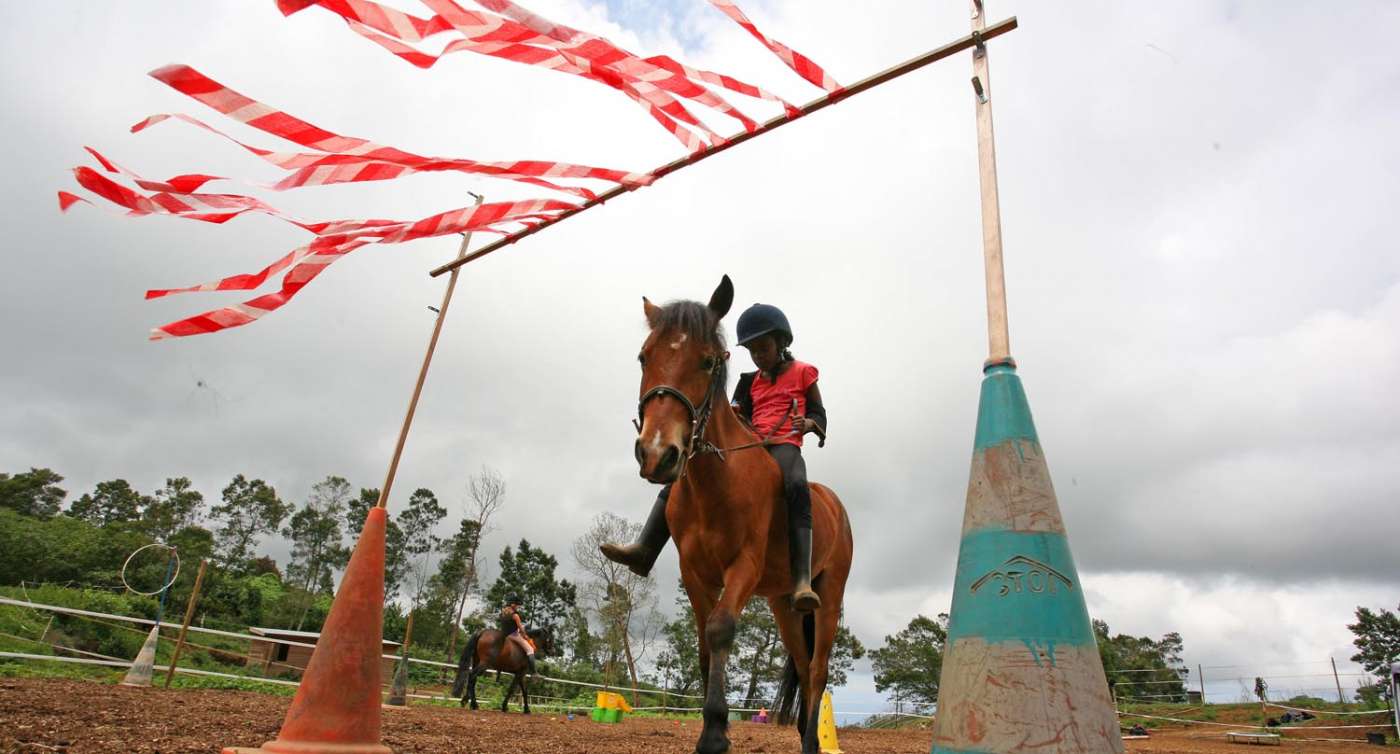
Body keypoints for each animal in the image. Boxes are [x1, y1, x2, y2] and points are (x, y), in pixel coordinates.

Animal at [635, 276, 851, 754]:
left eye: (707, 361)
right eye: (644, 357)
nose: (657, 454)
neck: (716, 482)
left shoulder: (743, 567)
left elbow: (720, 629)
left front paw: (715, 733)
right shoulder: (694, 572)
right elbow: (702, 644)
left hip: (827, 598)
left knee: (817, 670)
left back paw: (813, 741)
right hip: (783, 606)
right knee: (803, 664)